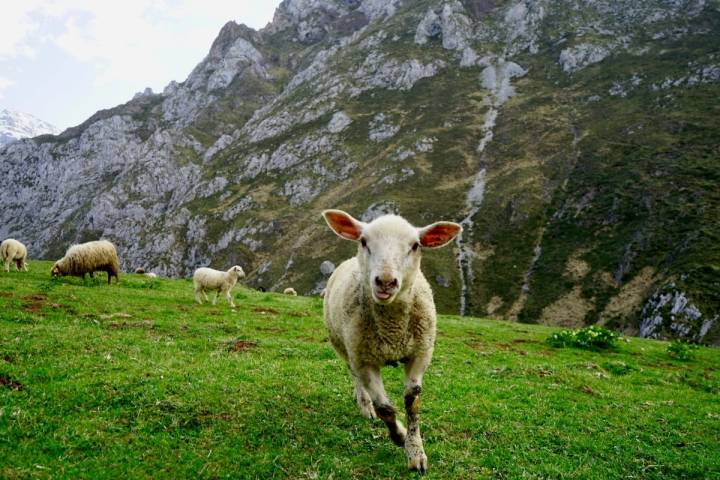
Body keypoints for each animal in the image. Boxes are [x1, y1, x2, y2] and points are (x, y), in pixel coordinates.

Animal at [322, 209, 462, 472]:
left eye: (415, 245)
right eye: (364, 241)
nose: (386, 282)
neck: (392, 331)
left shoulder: (420, 353)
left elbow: (412, 401)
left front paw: (415, 451)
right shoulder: (364, 359)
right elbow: (385, 408)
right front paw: (398, 435)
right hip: (343, 345)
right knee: (354, 375)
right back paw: (364, 404)